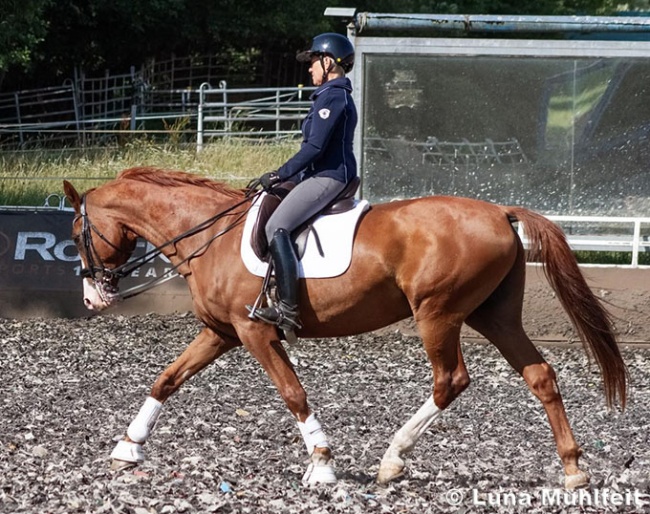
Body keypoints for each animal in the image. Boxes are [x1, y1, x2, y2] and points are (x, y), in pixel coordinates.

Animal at [62, 166, 628, 489]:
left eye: (74, 233)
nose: (91, 297)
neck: (211, 234)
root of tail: (500, 211)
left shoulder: (254, 333)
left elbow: (293, 394)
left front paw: (322, 463)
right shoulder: (222, 332)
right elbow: (167, 379)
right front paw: (128, 447)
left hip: (438, 313)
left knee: (451, 380)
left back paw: (392, 460)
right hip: (494, 315)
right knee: (540, 375)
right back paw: (574, 470)